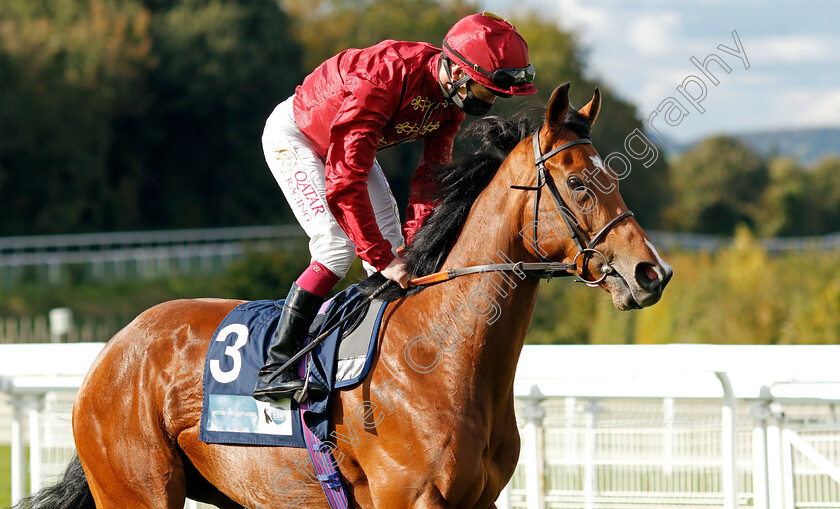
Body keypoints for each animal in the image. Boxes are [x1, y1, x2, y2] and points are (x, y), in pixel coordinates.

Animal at [16, 83, 672, 508]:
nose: (651, 272)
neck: (443, 351)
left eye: (613, 177)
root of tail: (112, 350)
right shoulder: (409, 498)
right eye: (579, 183)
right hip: (137, 490)